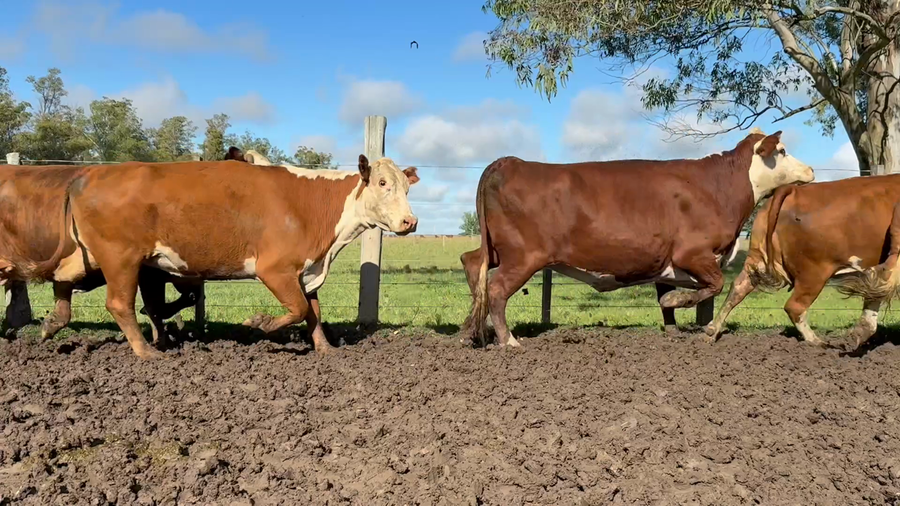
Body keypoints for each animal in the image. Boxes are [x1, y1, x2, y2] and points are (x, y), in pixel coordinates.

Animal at [34, 154, 420, 359]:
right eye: (382, 184)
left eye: (406, 186)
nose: (410, 222)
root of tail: (89, 174)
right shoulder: (275, 270)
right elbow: (297, 310)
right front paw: (258, 324)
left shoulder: (307, 271)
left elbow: (313, 312)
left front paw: (325, 348)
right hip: (121, 259)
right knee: (119, 304)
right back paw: (146, 352)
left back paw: (51, 326)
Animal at [459, 128, 815, 347]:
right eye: (783, 150)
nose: (810, 170)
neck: (718, 187)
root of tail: (510, 161)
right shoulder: (693, 253)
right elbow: (712, 285)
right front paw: (677, 303)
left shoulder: (667, 262)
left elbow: (666, 297)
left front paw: (672, 329)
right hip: (523, 255)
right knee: (496, 288)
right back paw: (508, 340)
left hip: (496, 249)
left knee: (472, 263)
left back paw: (467, 333)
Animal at [704, 175, 900, 351]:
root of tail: (795, 190)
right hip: (814, 272)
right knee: (794, 306)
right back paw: (817, 342)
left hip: (757, 257)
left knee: (738, 288)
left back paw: (712, 331)